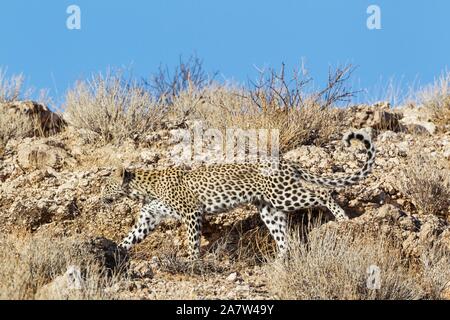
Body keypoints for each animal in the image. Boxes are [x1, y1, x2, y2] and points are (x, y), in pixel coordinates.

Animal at [102, 130, 376, 260]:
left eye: (106, 185)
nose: (101, 197)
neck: (142, 190)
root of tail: (285, 160)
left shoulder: (192, 212)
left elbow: (192, 241)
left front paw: (192, 261)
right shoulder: (148, 218)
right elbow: (130, 237)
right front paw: (115, 250)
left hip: (284, 194)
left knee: (322, 191)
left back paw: (343, 219)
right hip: (269, 209)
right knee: (283, 236)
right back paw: (280, 260)